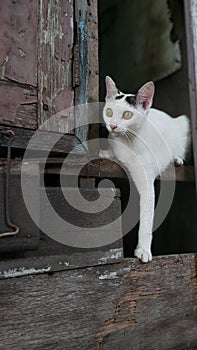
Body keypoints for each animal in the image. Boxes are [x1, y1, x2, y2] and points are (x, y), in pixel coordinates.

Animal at [101, 76, 190, 262]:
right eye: (109, 112)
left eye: (127, 115)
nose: (113, 126)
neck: (127, 143)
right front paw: (105, 153)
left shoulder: (147, 182)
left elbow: (147, 217)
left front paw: (143, 249)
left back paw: (177, 158)